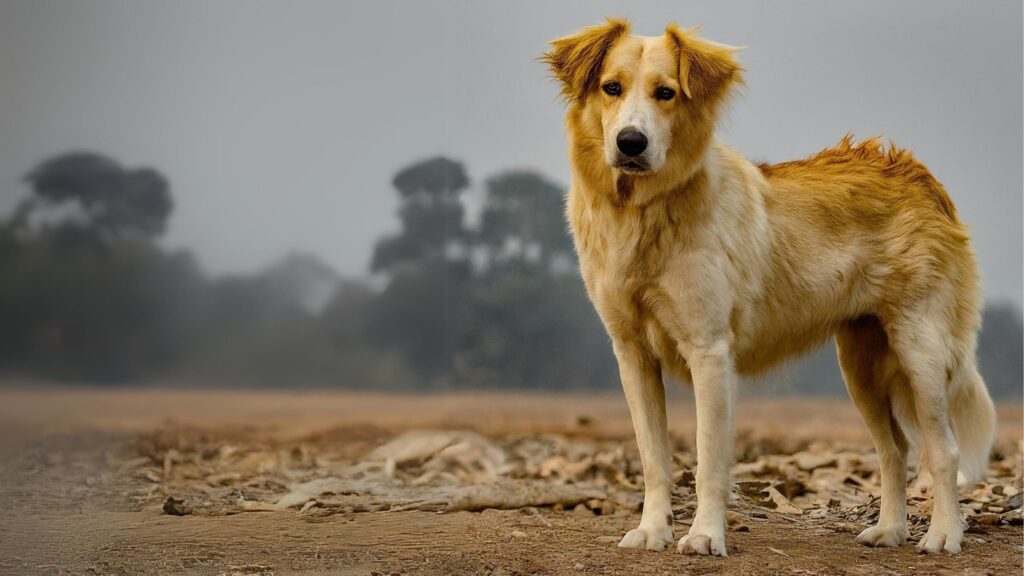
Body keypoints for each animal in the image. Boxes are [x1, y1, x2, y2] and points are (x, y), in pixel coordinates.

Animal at [544, 19, 991, 557]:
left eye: (665, 93)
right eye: (611, 87)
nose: (631, 142)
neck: (645, 211)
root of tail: (917, 173)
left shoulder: (710, 352)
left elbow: (709, 461)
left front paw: (704, 536)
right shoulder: (632, 354)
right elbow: (654, 459)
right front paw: (653, 531)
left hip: (919, 350)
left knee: (943, 450)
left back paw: (944, 534)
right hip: (859, 366)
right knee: (894, 449)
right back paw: (890, 530)